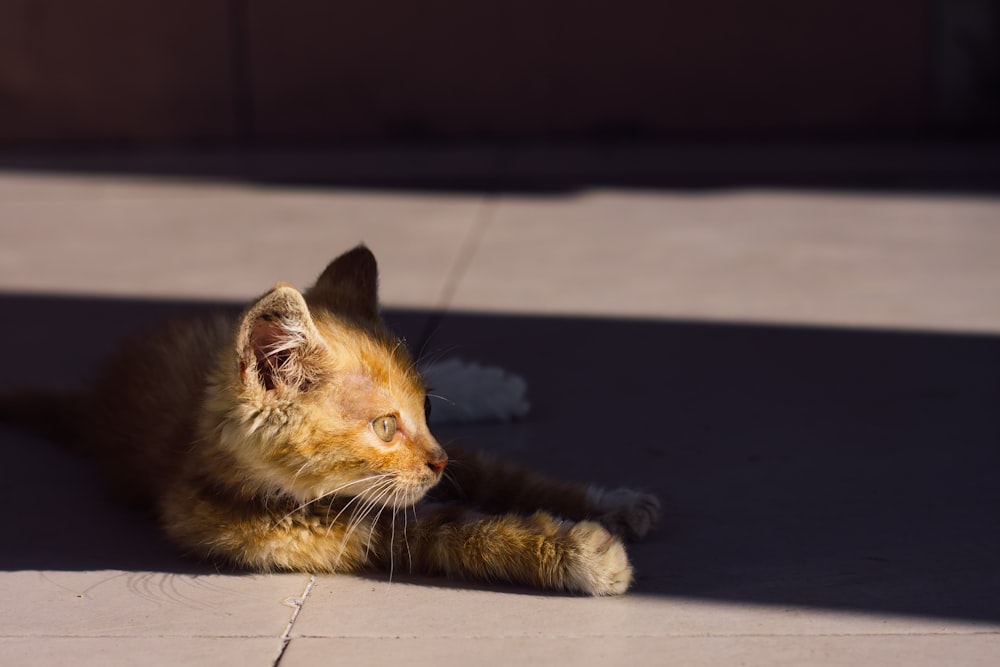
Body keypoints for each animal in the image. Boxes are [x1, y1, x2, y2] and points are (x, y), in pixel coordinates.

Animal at [0, 245, 660, 596]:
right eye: (385, 428)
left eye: (424, 409)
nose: (438, 461)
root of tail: (94, 404)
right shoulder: (339, 539)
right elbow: (456, 531)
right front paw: (583, 553)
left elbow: (509, 476)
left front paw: (614, 502)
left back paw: (489, 385)